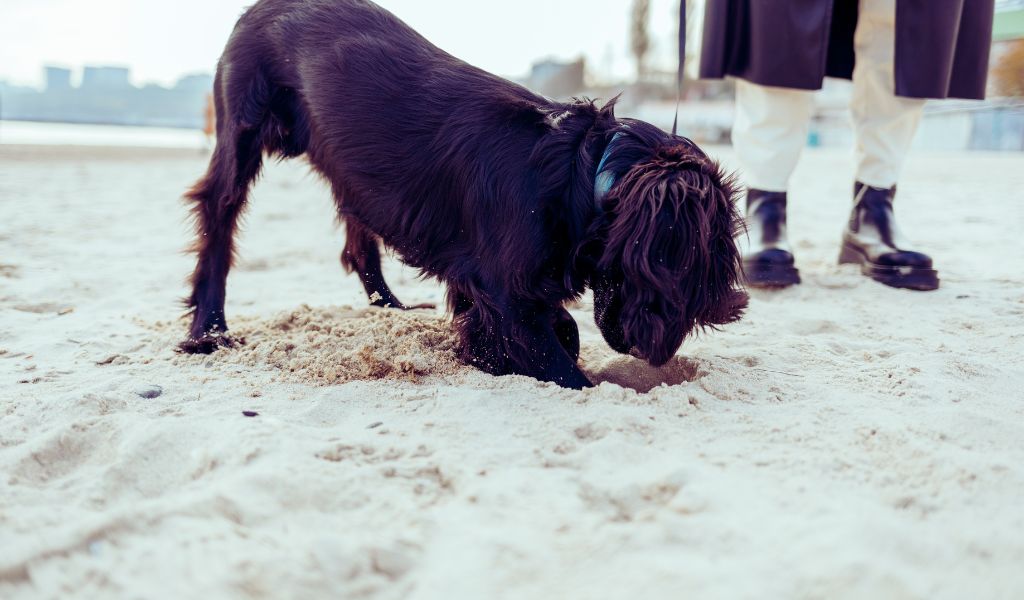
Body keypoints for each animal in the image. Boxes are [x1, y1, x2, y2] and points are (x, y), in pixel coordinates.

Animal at [180, 0, 749, 387]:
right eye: (689, 279)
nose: (657, 356)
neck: (581, 171)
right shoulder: (505, 293)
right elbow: (562, 365)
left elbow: (554, 329)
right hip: (241, 133)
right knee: (218, 223)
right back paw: (209, 331)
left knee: (358, 241)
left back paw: (392, 309)